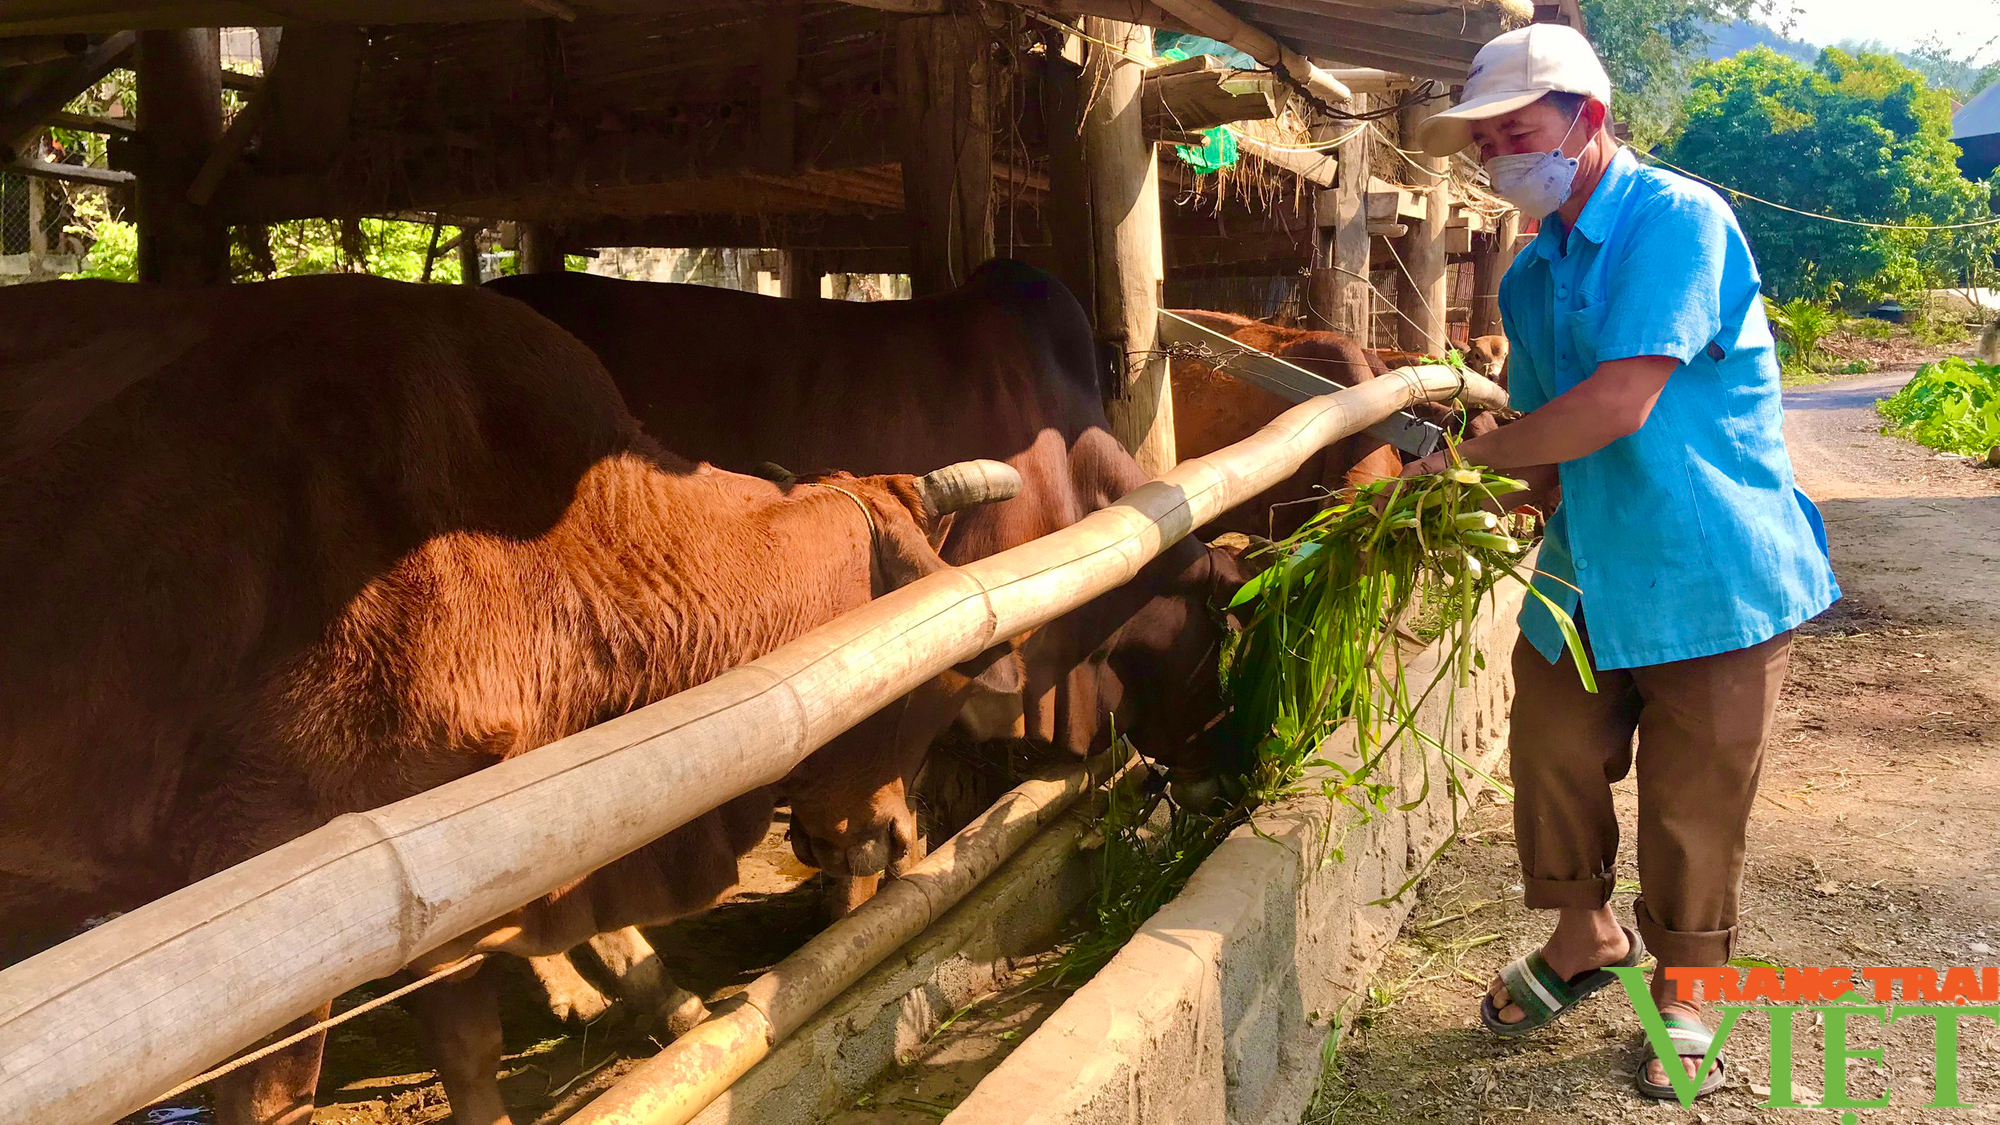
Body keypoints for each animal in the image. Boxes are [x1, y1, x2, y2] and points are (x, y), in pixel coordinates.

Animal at [0, 272, 1008, 1120]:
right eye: (934, 674)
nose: (898, 835)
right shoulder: (272, 884)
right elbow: (275, 1096)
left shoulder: (462, 865)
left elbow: (471, 1044)